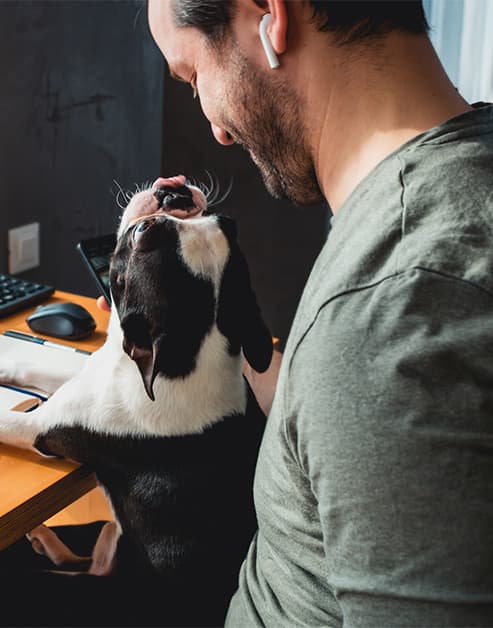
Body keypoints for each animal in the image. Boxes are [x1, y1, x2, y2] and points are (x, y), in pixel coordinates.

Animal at [0, 177, 270, 620]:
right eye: (226, 222)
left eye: (142, 234)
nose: (175, 191)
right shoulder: (88, 375)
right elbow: (31, 365)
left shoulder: (41, 426)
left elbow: (9, 419)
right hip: (109, 539)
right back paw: (43, 537)